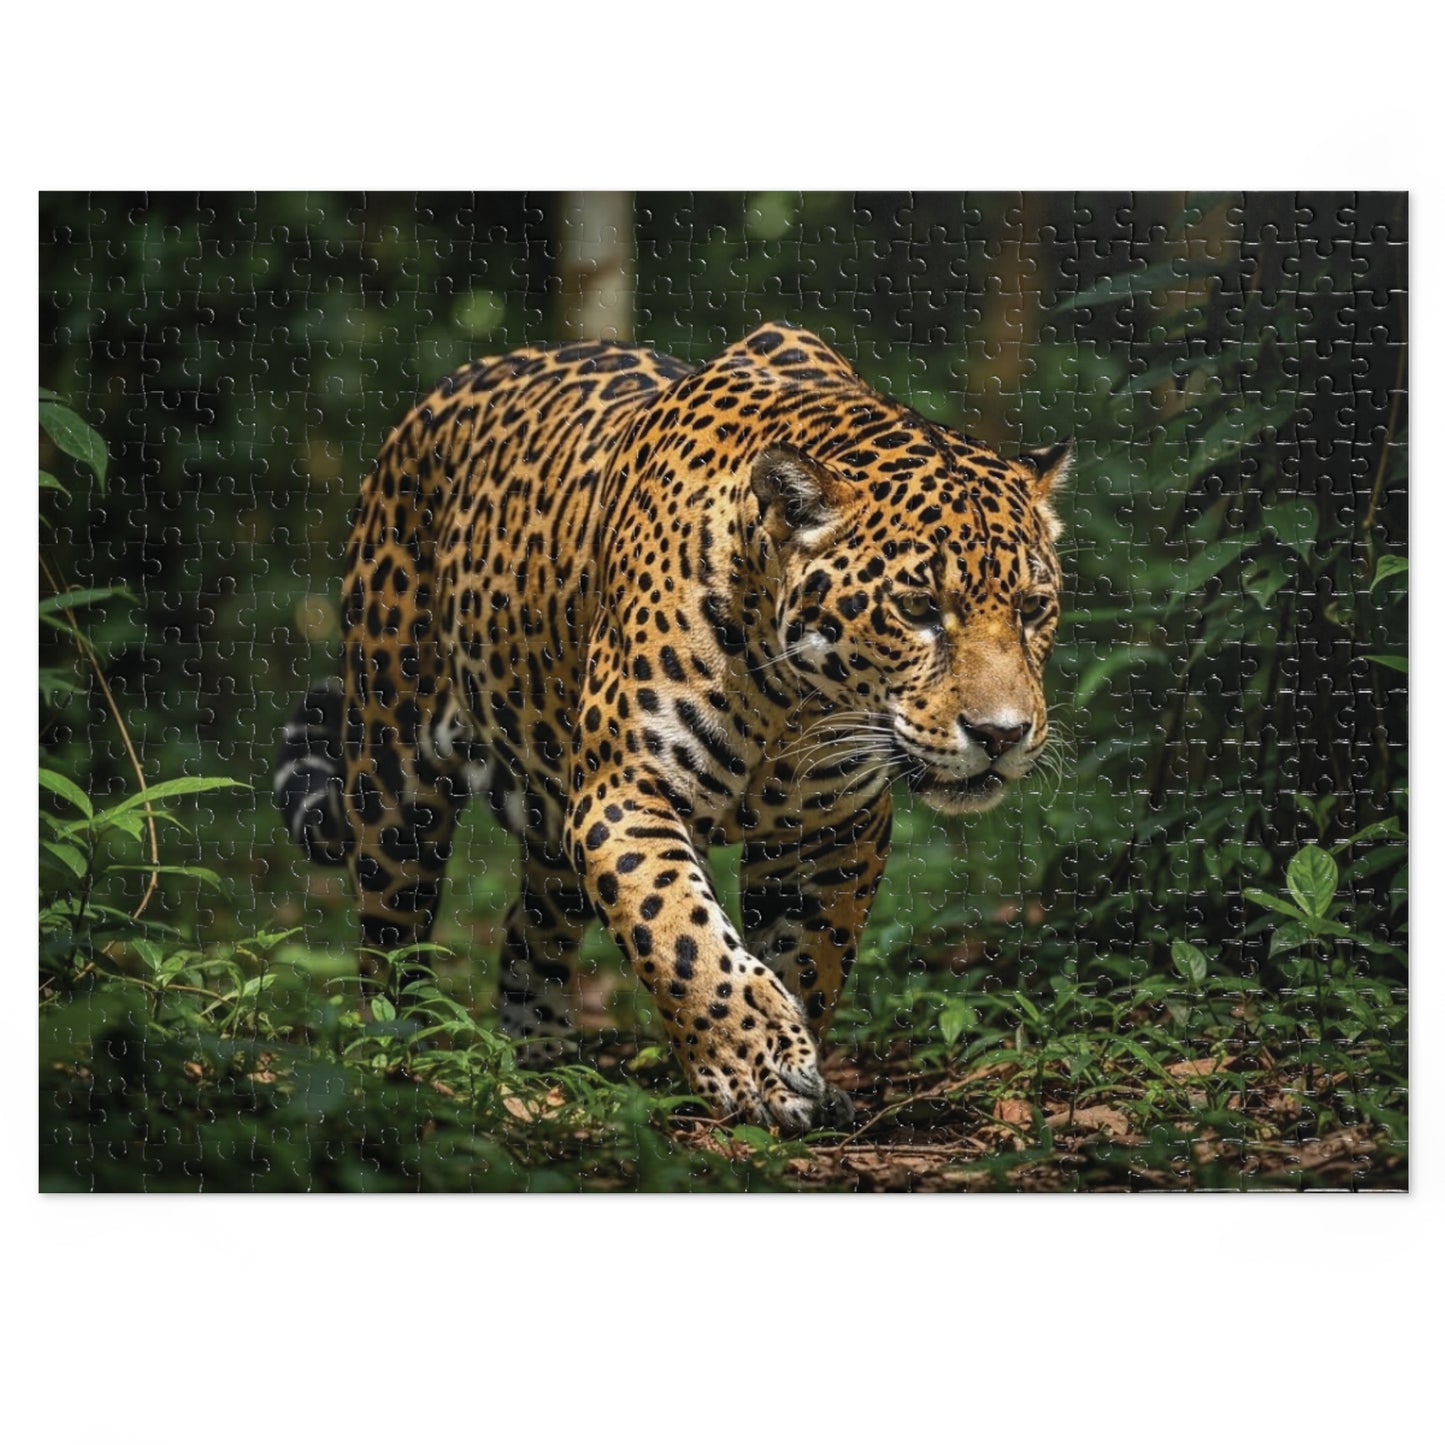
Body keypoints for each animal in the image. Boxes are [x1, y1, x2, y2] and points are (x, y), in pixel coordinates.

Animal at [276, 322, 1070, 1133]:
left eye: (1034, 608)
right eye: (917, 610)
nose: (1001, 734)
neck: (793, 699)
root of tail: (447, 388)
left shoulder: (836, 830)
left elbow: (808, 953)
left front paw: (800, 1068)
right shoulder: (624, 792)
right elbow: (680, 930)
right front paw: (755, 1065)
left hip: (552, 807)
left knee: (532, 925)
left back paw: (541, 1057)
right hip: (392, 772)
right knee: (389, 939)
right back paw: (399, 1053)